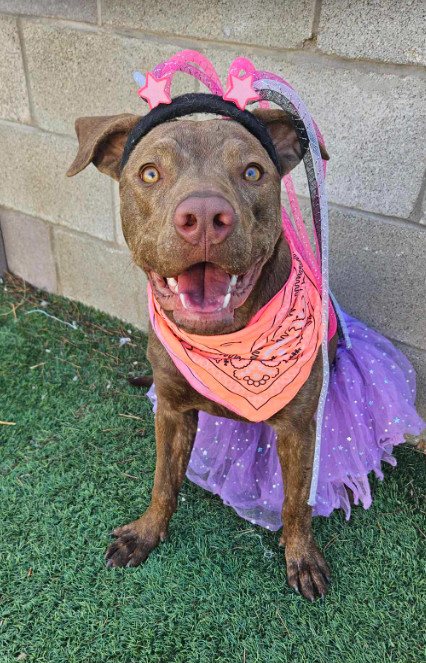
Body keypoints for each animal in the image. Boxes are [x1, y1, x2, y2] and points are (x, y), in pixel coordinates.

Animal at [67, 107, 332, 600]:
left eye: (253, 172)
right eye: (150, 173)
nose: (206, 216)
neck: (223, 344)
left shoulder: (298, 428)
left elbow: (295, 501)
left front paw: (301, 554)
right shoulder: (171, 412)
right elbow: (163, 481)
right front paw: (146, 533)